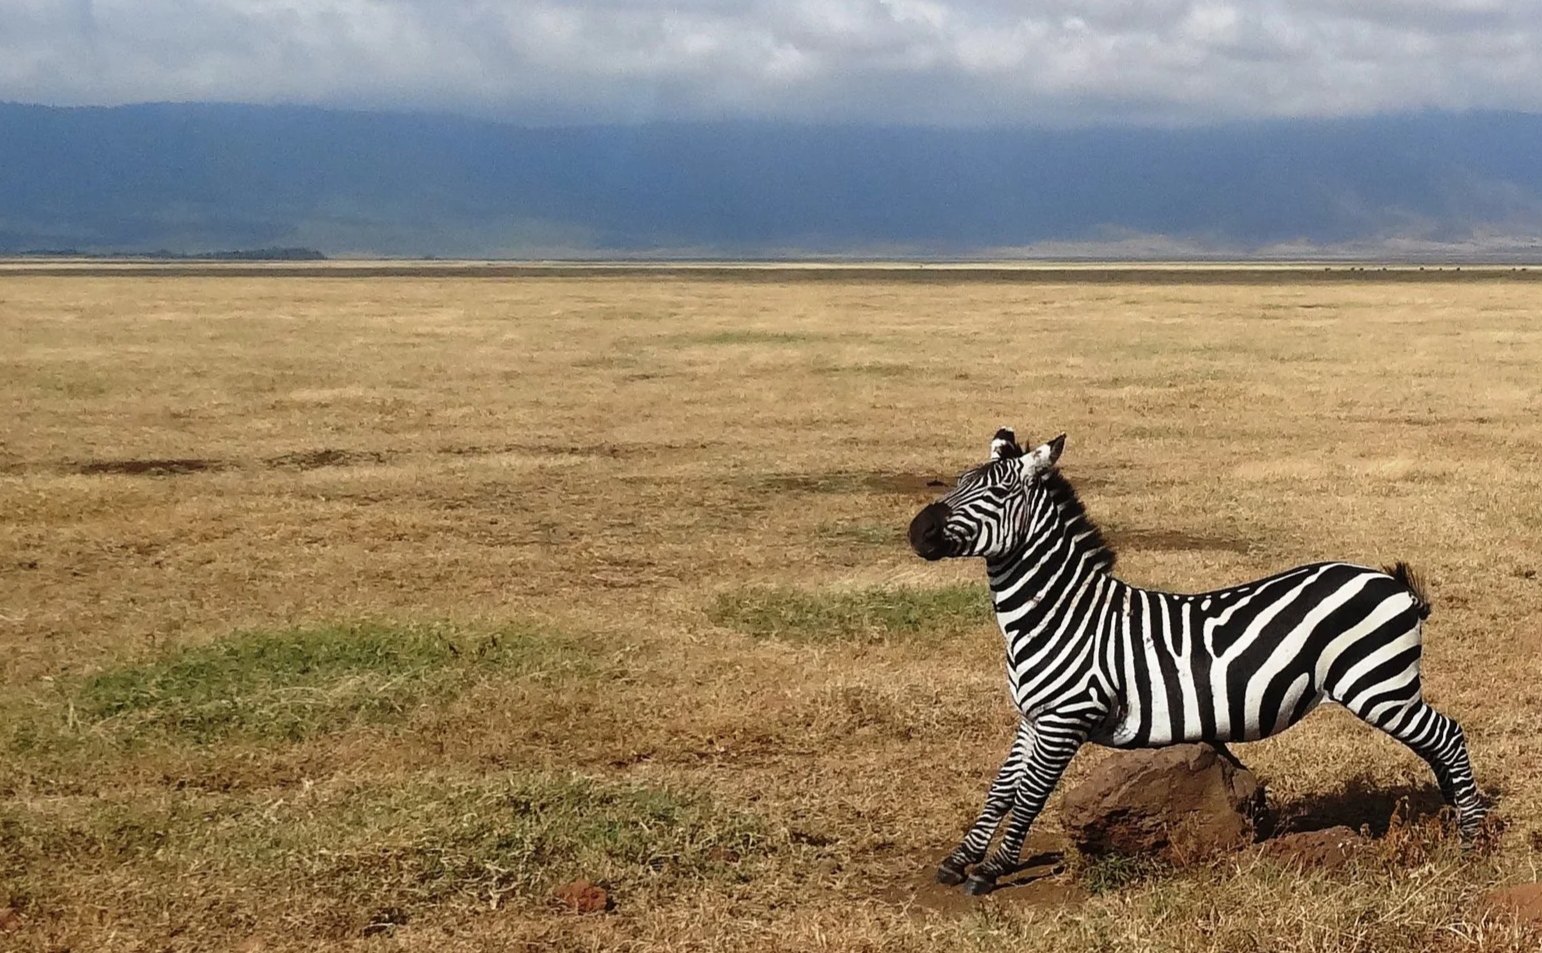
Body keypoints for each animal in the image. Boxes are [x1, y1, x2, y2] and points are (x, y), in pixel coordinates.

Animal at [908, 428, 1484, 895]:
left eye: (998, 492)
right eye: (959, 481)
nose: (917, 532)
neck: (1061, 613)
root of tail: (1391, 583)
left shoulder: (1066, 717)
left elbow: (1028, 794)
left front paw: (990, 871)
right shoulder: (1033, 716)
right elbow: (1001, 788)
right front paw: (960, 860)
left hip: (1378, 686)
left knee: (1449, 736)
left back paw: (1473, 842)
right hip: (1386, 688)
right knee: (1438, 745)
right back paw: (1455, 812)